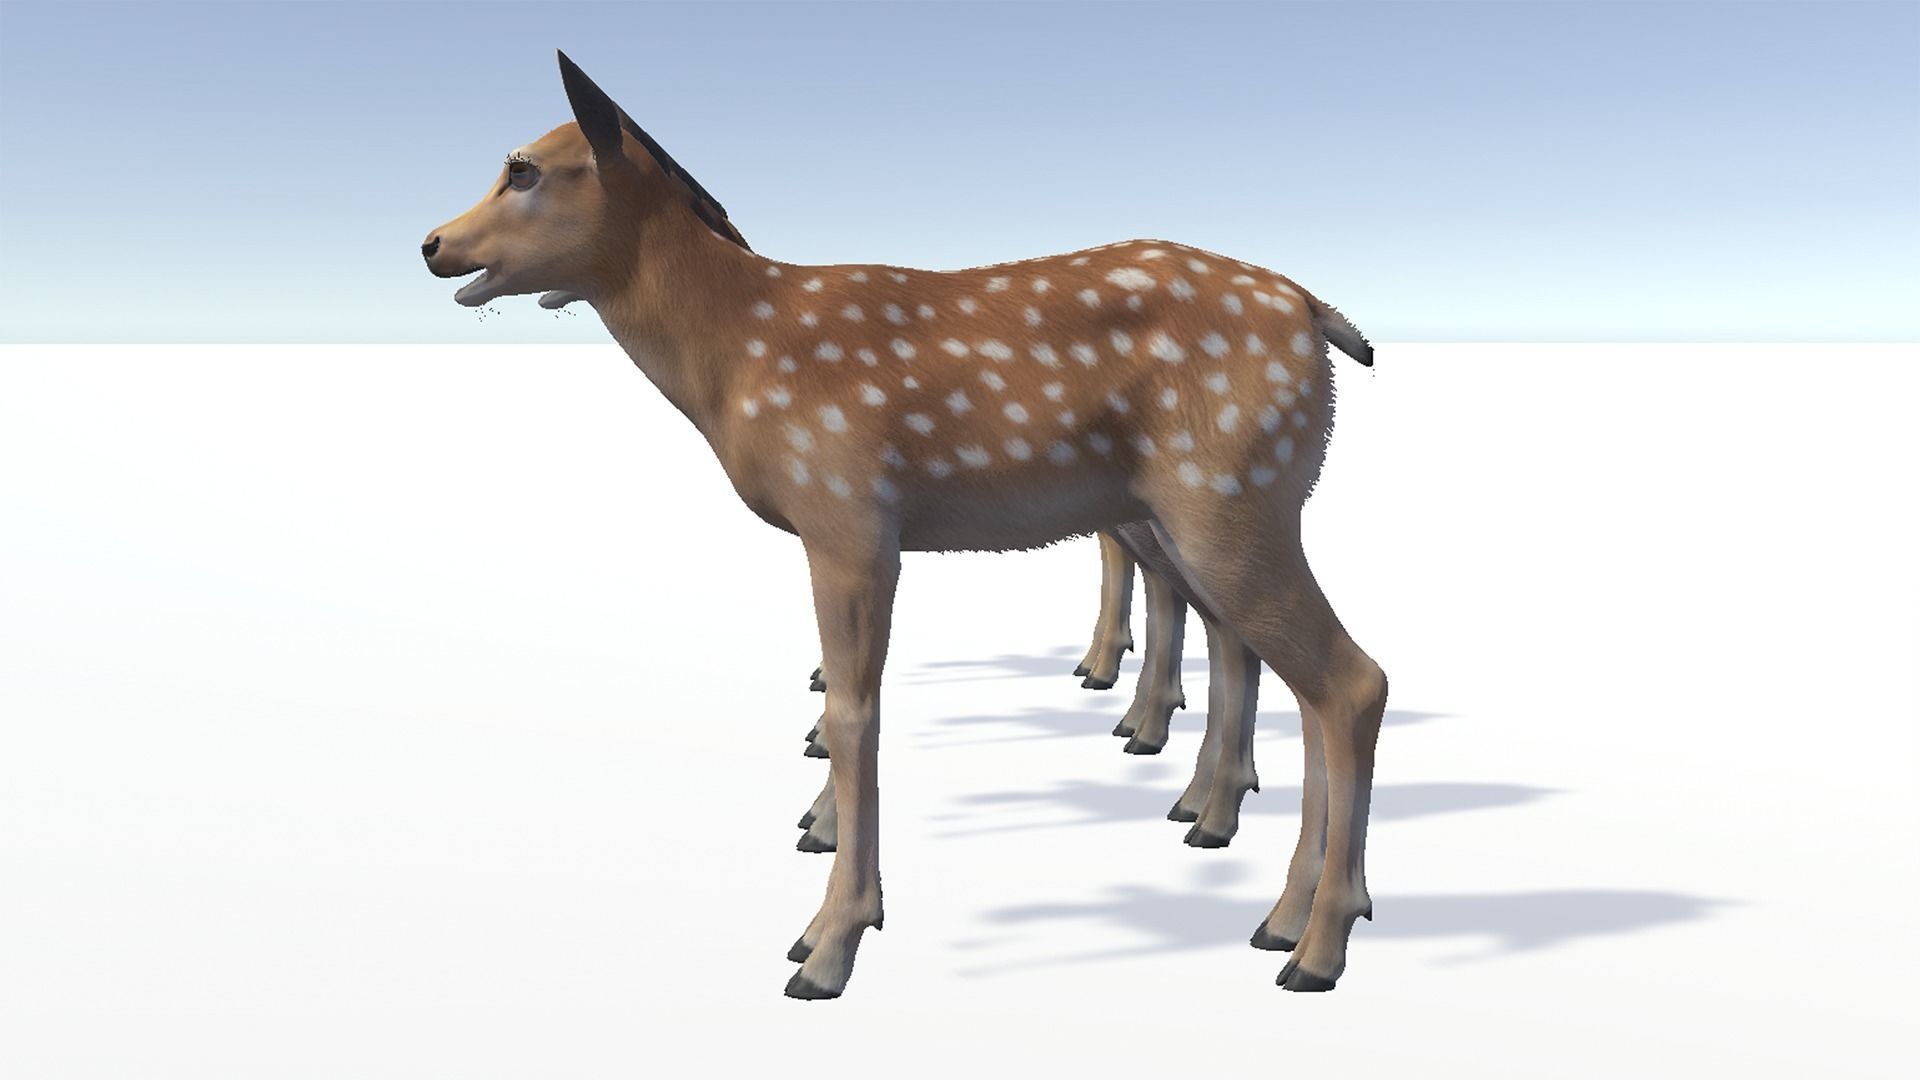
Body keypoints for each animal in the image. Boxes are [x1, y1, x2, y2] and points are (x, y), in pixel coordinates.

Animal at [422, 51, 1388, 999]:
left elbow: (855, 714)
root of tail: (1316, 314)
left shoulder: (847, 516)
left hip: (1222, 494)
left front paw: (828, 944)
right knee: (1281, 667)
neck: (735, 355)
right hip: (1214, 507)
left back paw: (1314, 946)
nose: (433, 243)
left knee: (1348, 680)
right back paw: (1260, 889)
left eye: (523, 168)